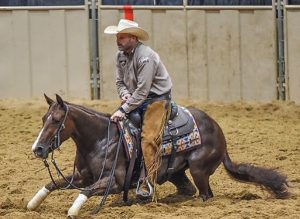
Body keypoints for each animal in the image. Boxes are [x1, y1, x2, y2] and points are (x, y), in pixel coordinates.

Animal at [27, 94, 290, 217]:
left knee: (205, 195)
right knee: (188, 190)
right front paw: (31, 204)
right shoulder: (81, 176)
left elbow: (85, 191)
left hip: (199, 168)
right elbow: (52, 183)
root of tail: (219, 132)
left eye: (57, 120)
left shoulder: (115, 181)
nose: (37, 149)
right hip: (175, 172)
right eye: (43, 118)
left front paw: (73, 211)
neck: (100, 139)